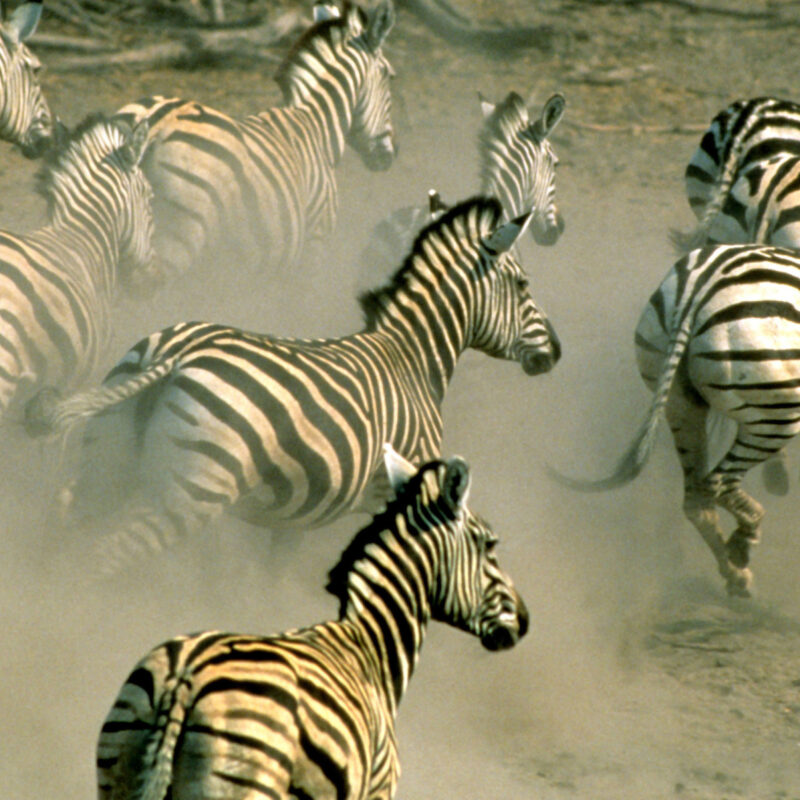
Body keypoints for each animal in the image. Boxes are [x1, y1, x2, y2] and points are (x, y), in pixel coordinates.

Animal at [27, 196, 560, 572]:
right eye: (523, 286)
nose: (554, 351)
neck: (411, 359)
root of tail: (178, 353)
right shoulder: (397, 488)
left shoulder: (305, 509)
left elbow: (274, 573)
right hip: (191, 494)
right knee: (104, 558)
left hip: (108, 463)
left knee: (65, 522)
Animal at [94, 445, 528, 800]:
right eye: (490, 545)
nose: (524, 620)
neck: (372, 646)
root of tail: (184, 679)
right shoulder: (377, 791)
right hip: (248, 779)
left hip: (121, 760)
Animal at [112, 0, 397, 280]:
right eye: (389, 76)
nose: (391, 154)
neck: (317, 124)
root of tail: (154, 121)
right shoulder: (315, 244)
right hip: (178, 239)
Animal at [552, 243, 800, 597]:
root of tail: (697, 288)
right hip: (776, 414)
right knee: (717, 484)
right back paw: (742, 546)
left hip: (680, 402)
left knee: (696, 499)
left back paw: (736, 576)